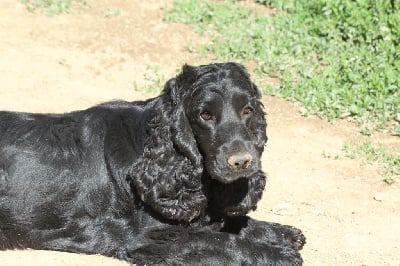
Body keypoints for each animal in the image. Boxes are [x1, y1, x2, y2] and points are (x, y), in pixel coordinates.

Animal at [0, 62, 304, 264]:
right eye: (205, 115)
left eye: (248, 110)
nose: (242, 162)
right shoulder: (149, 237)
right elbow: (218, 240)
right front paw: (276, 253)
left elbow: (226, 222)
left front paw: (280, 232)